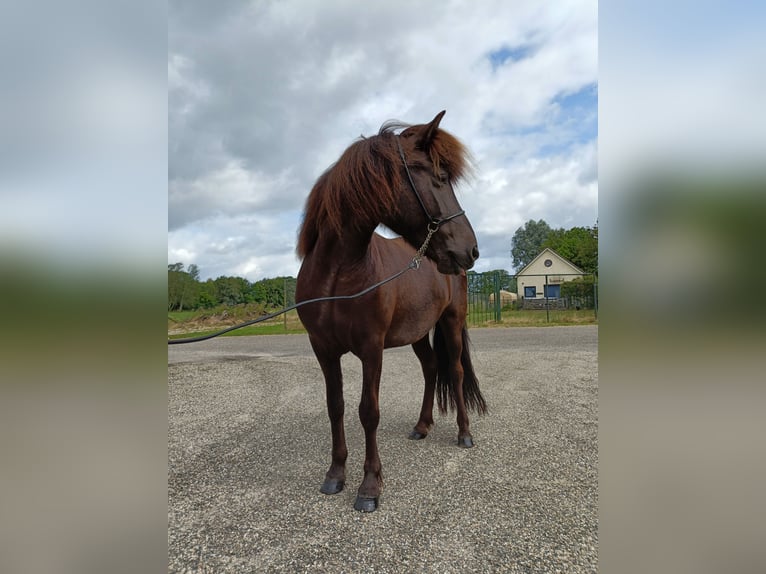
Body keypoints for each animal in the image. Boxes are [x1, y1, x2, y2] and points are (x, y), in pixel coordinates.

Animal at [296, 111, 488, 512]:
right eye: (440, 178)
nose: (472, 250)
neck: (338, 274)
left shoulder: (371, 348)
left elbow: (368, 411)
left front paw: (370, 486)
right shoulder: (323, 349)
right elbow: (335, 406)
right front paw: (335, 474)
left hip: (451, 322)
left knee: (456, 372)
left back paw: (464, 433)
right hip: (417, 333)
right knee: (431, 367)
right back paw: (422, 426)